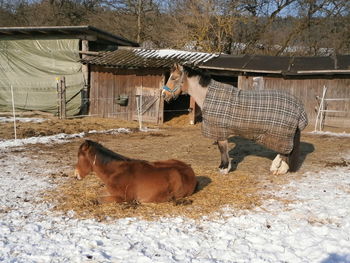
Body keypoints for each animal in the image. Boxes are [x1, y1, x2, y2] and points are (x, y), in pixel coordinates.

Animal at [161, 64, 306, 175]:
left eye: (174, 77)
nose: (164, 95)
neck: (209, 96)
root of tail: (299, 108)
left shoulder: (220, 130)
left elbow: (222, 149)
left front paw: (224, 168)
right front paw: (223, 167)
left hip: (282, 135)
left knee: (285, 152)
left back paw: (279, 169)